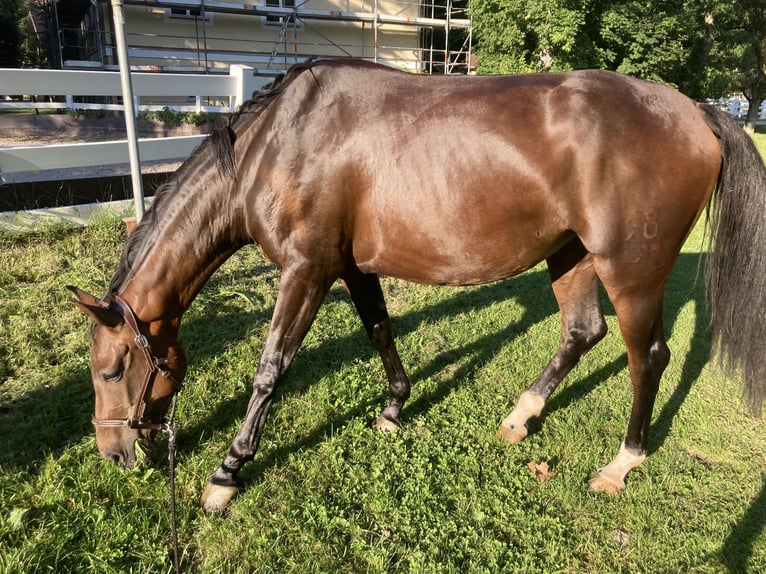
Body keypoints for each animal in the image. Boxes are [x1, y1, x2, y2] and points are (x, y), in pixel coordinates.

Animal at [69, 60, 766, 516]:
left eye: (109, 371)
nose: (112, 453)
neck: (277, 145)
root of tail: (696, 111)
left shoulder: (306, 270)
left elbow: (271, 369)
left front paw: (229, 469)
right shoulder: (350, 267)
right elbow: (380, 330)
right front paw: (394, 408)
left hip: (631, 270)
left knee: (647, 357)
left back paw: (622, 463)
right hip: (571, 253)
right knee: (580, 331)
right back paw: (521, 416)